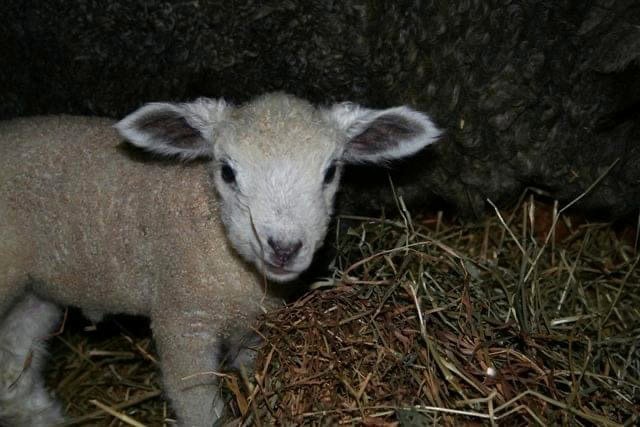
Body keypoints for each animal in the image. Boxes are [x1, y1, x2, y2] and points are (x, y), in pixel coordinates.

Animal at [0, 92, 440, 426]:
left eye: (331, 171)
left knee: (17, 349)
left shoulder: (255, 325)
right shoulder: (182, 319)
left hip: (35, 289)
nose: (283, 247)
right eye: (227, 172)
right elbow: (197, 404)